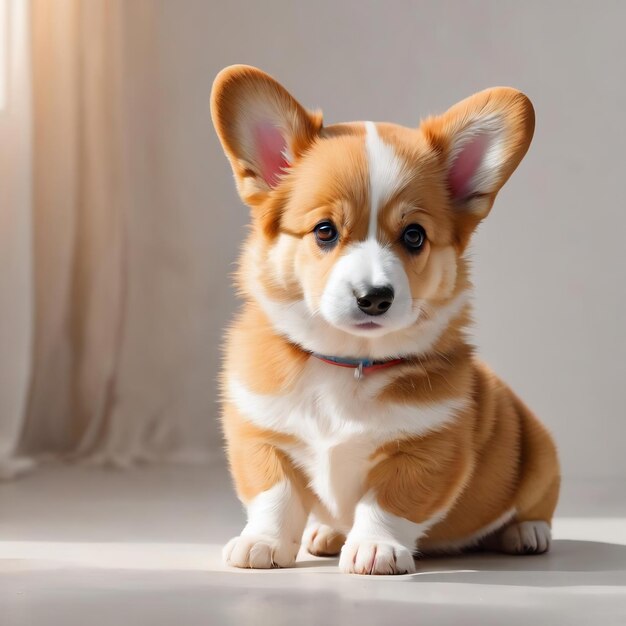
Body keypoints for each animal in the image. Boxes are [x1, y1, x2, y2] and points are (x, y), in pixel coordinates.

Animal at [210, 66, 556, 572]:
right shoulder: (261, 434)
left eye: (414, 236)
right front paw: (263, 543)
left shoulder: (428, 450)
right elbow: (275, 495)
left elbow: (388, 503)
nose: (374, 298)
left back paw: (527, 532)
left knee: (535, 505)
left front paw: (375, 549)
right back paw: (324, 533)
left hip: (541, 452)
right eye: (324, 231)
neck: (349, 365)